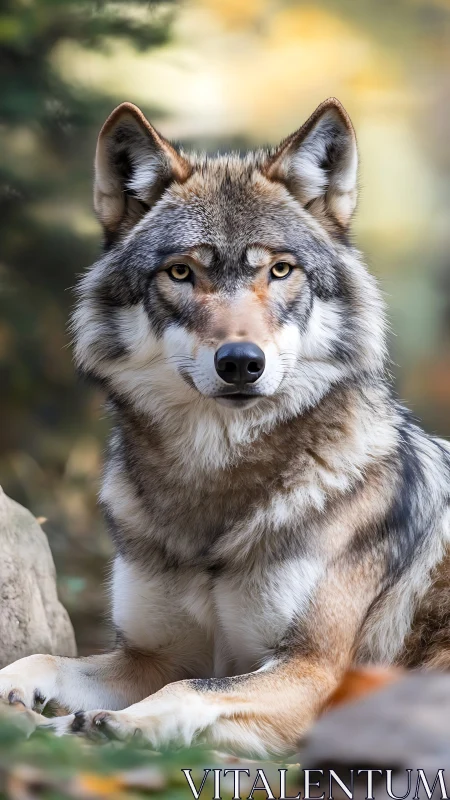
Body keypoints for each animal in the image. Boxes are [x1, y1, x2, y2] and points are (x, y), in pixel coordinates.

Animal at [0, 98, 449, 757]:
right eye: (181, 273)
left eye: (281, 270)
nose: (240, 362)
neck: (212, 491)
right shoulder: (151, 655)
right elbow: (43, 660)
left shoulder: (312, 670)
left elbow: (191, 689)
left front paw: (114, 723)